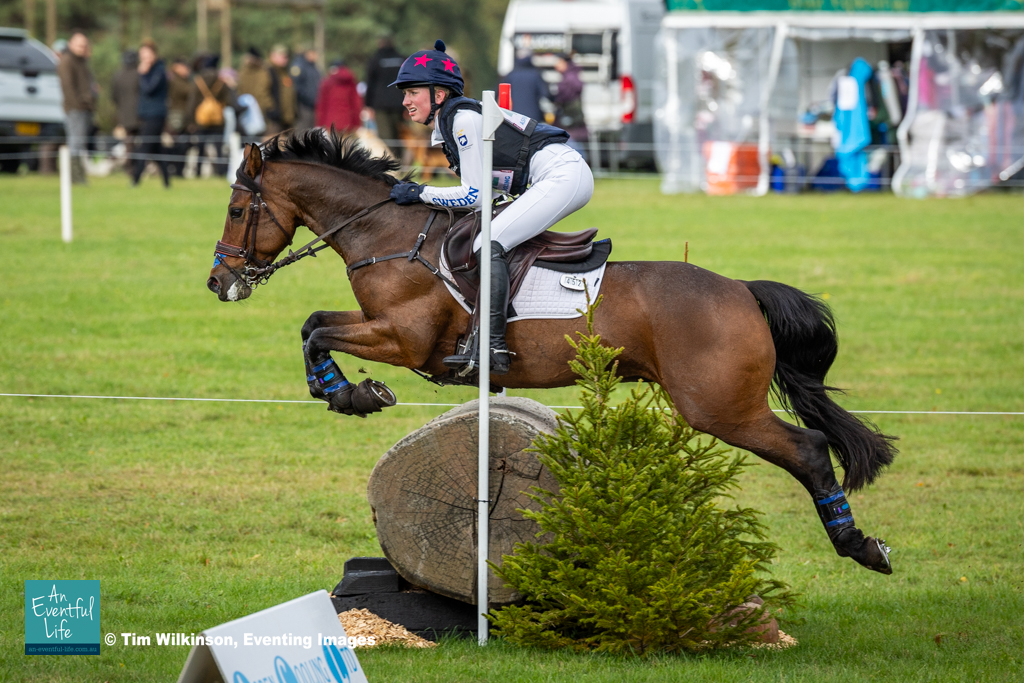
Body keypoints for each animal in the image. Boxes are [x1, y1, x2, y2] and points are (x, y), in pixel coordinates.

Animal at [206, 130, 898, 575]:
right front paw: (348, 391)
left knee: (809, 449)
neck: (390, 237)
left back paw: (862, 547)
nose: (219, 282)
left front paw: (354, 393)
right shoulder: (383, 327)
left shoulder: (404, 339)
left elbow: (319, 332)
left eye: (238, 209)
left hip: (718, 406)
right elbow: (313, 324)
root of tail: (741, 291)